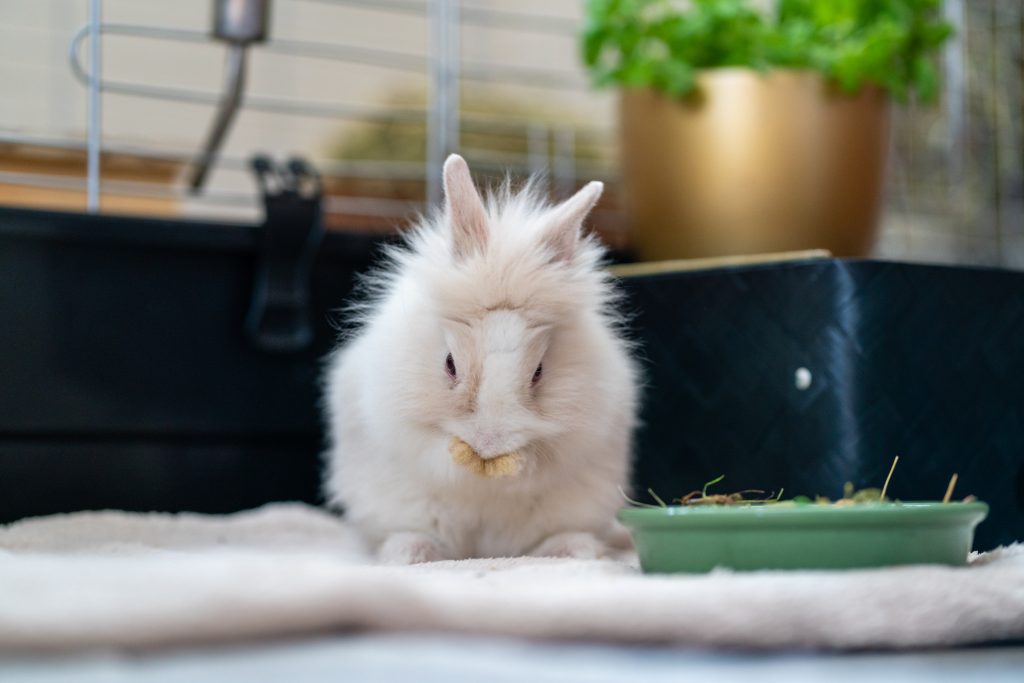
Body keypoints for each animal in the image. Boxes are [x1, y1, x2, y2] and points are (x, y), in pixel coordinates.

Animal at [323, 156, 634, 565]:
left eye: (538, 372)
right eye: (449, 364)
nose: (489, 444)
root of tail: (482, 551)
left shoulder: (576, 437)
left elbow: (540, 462)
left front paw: (515, 463)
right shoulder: (406, 429)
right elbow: (437, 455)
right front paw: (463, 456)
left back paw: (572, 549)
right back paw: (409, 552)